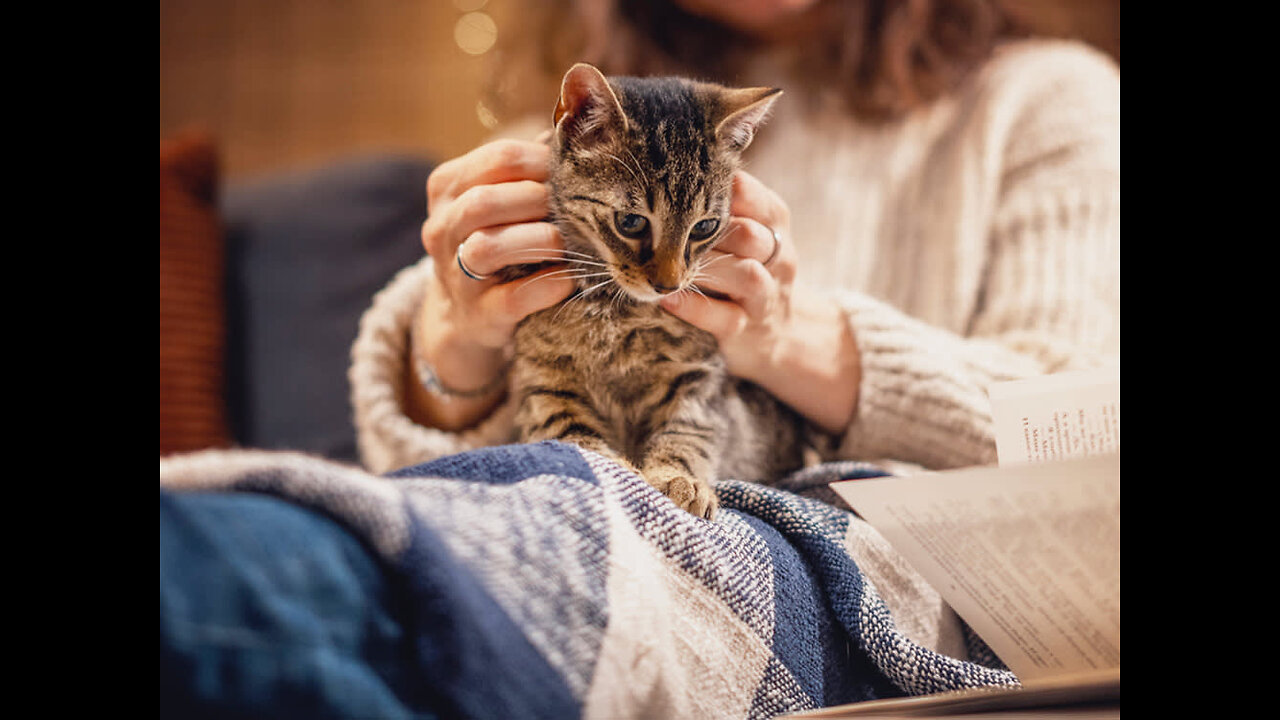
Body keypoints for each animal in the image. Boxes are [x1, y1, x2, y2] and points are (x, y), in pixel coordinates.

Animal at [506, 63, 798, 515]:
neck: (617, 309)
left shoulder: (700, 372)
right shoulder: (543, 377)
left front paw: (680, 477)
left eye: (705, 227)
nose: (668, 284)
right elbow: (568, 427)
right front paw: (614, 468)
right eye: (631, 222)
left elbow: (690, 427)